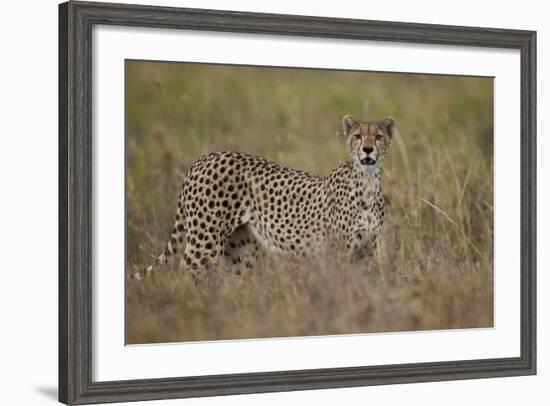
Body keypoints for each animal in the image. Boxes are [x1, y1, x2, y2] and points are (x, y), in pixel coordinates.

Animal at [142, 116, 396, 278]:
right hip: (204, 241)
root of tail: (204, 158)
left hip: (240, 250)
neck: (367, 181)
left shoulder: (367, 249)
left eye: (378, 137)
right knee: (184, 274)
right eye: (358, 136)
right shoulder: (339, 251)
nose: (367, 150)